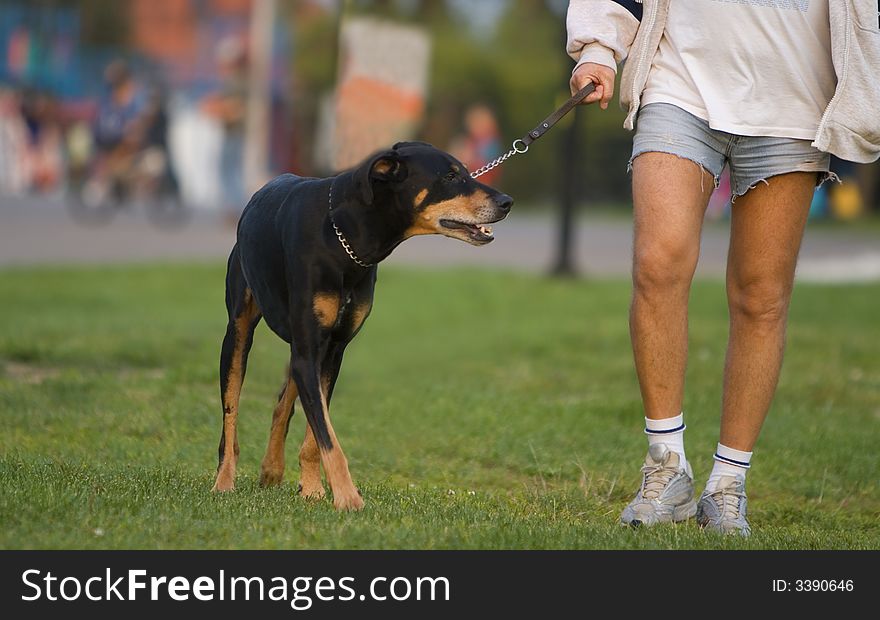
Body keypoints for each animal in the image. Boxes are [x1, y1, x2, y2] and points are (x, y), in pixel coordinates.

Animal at [212, 143, 512, 512]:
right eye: (450, 176)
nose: (507, 202)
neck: (342, 235)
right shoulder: (309, 349)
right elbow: (327, 436)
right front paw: (348, 498)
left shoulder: (332, 349)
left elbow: (315, 433)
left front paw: (313, 490)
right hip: (238, 332)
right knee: (231, 414)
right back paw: (224, 481)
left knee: (284, 399)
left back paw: (271, 469)